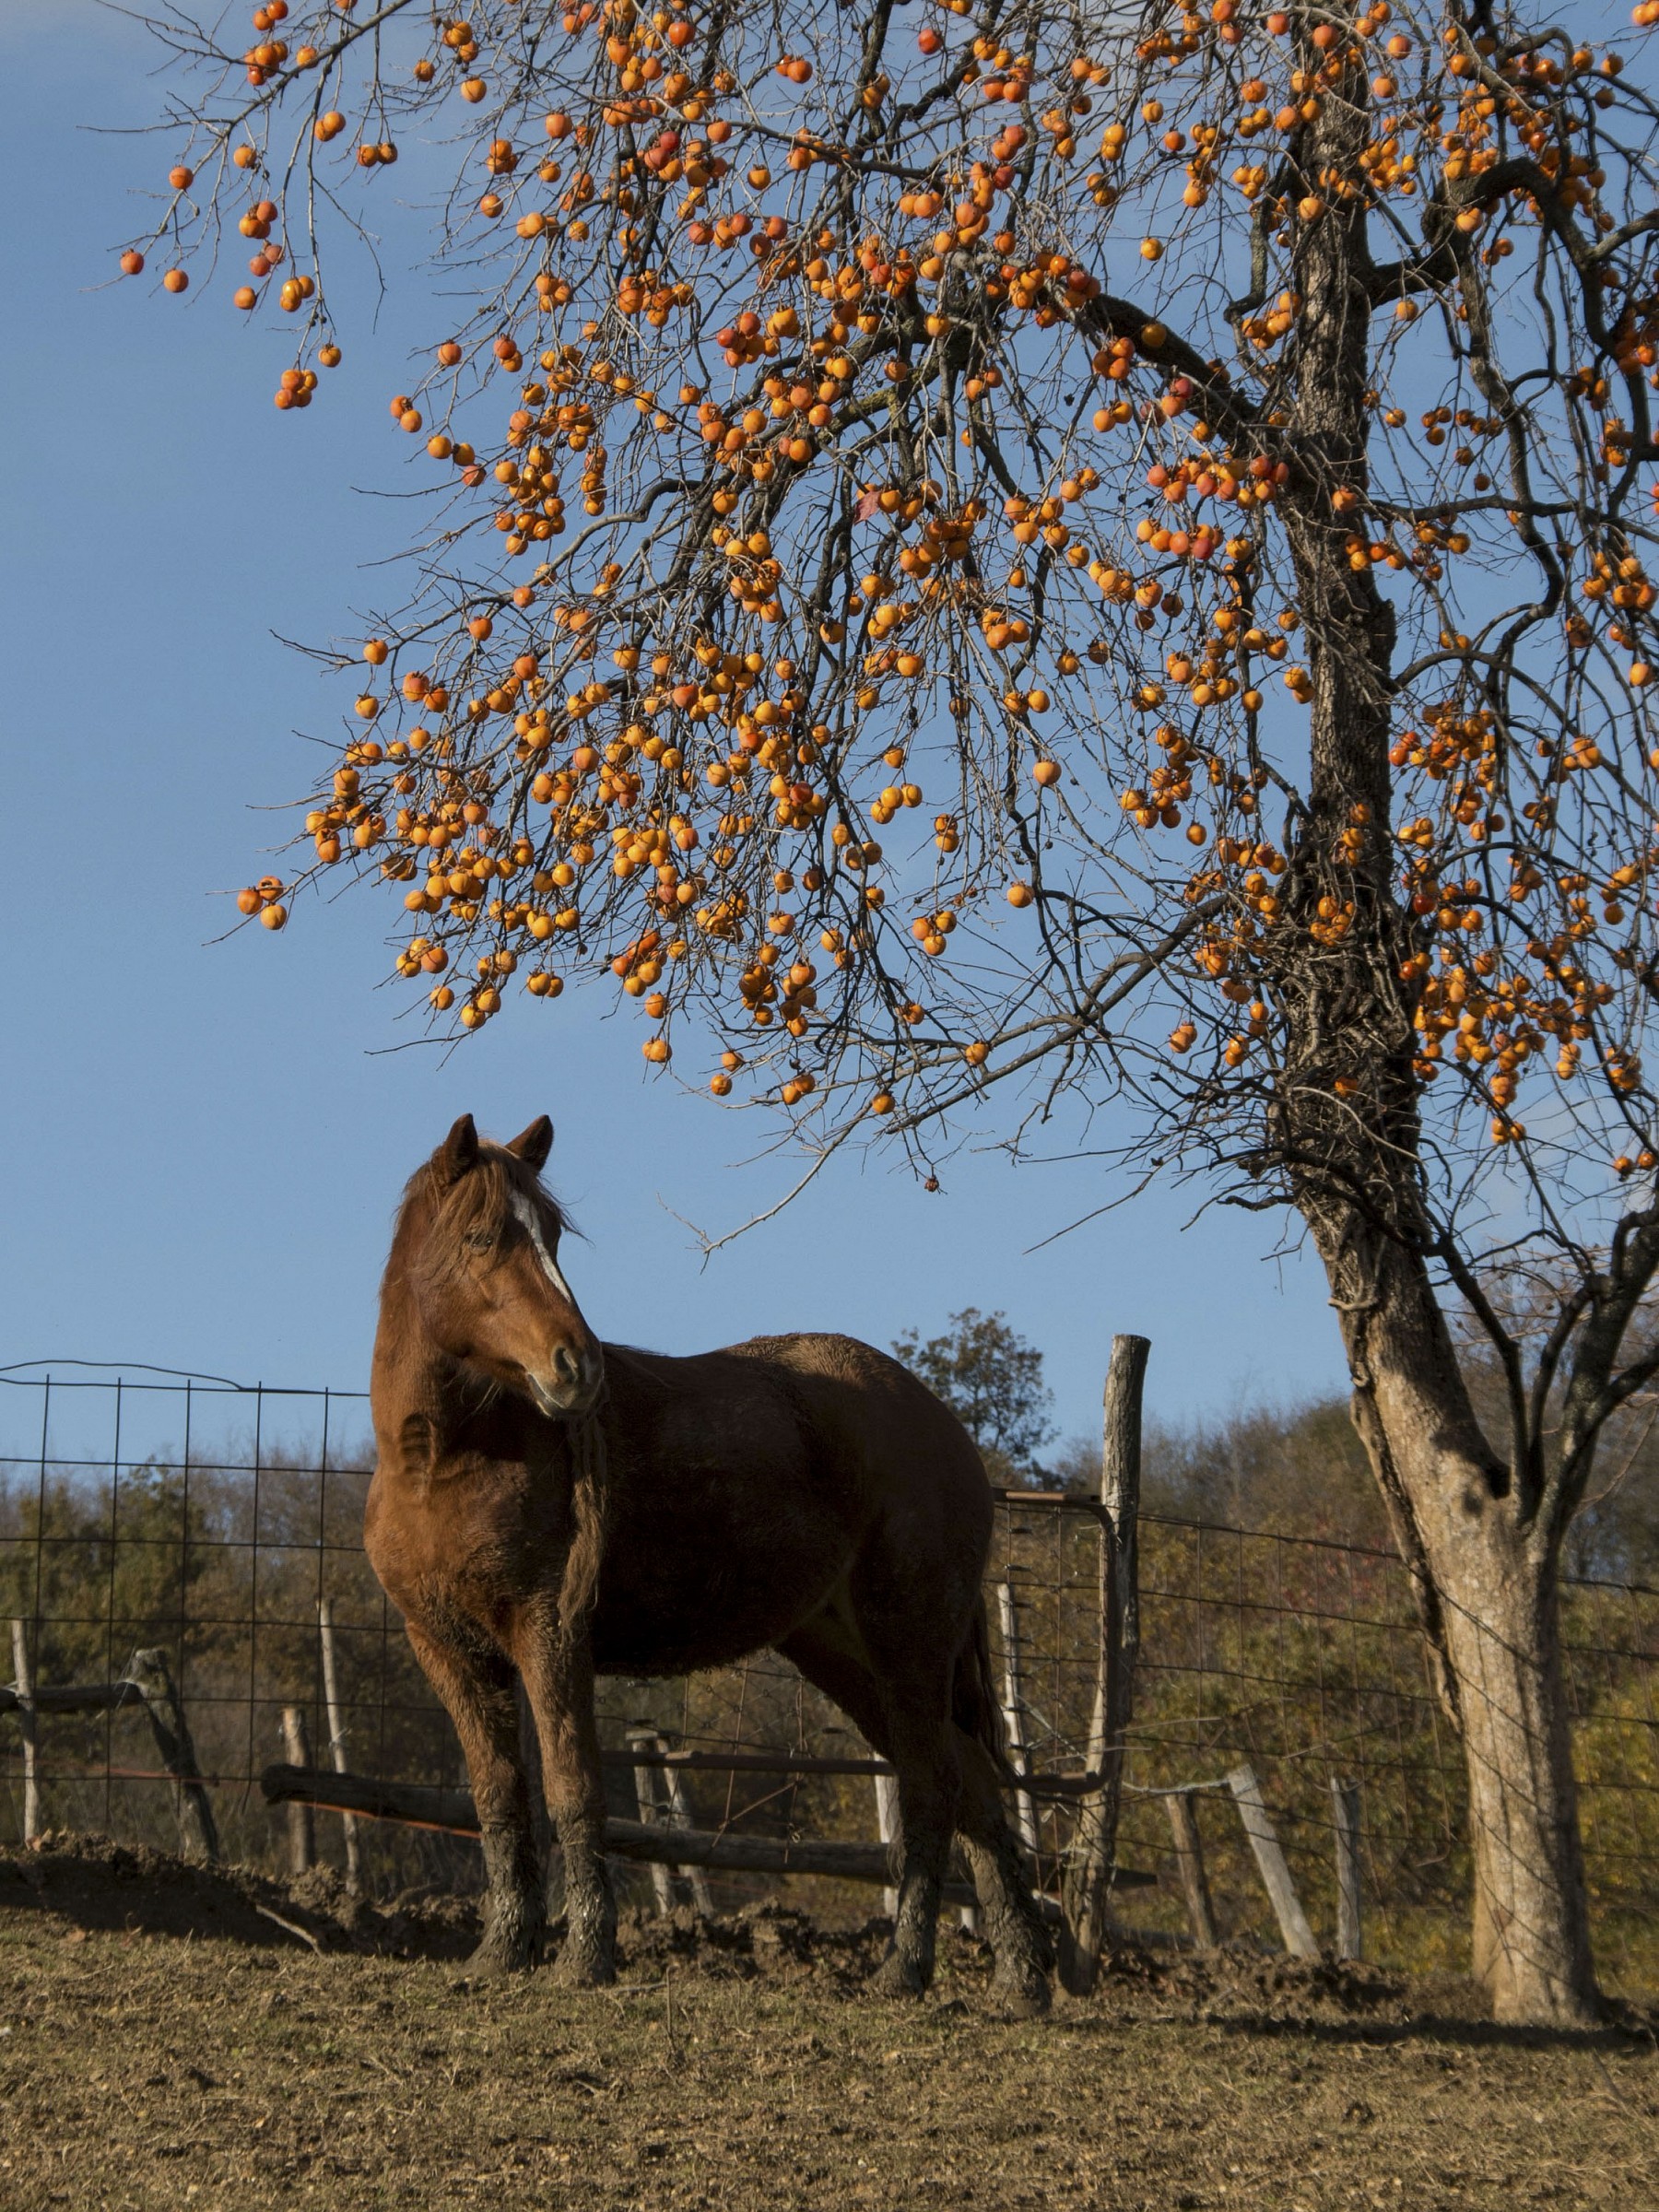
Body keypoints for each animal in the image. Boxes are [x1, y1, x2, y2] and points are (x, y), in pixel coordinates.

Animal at [365, 1113, 1053, 2014]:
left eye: (552, 1233)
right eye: (481, 1236)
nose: (576, 1366)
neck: (445, 1462)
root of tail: (942, 1423)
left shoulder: (550, 1634)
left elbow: (573, 1788)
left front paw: (586, 1960)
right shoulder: (448, 1649)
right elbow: (499, 1796)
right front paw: (501, 1953)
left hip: (910, 1645)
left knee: (933, 1787)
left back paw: (903, 1971)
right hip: (847, 1654)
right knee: (970, 1785)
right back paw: (1023, 1981)